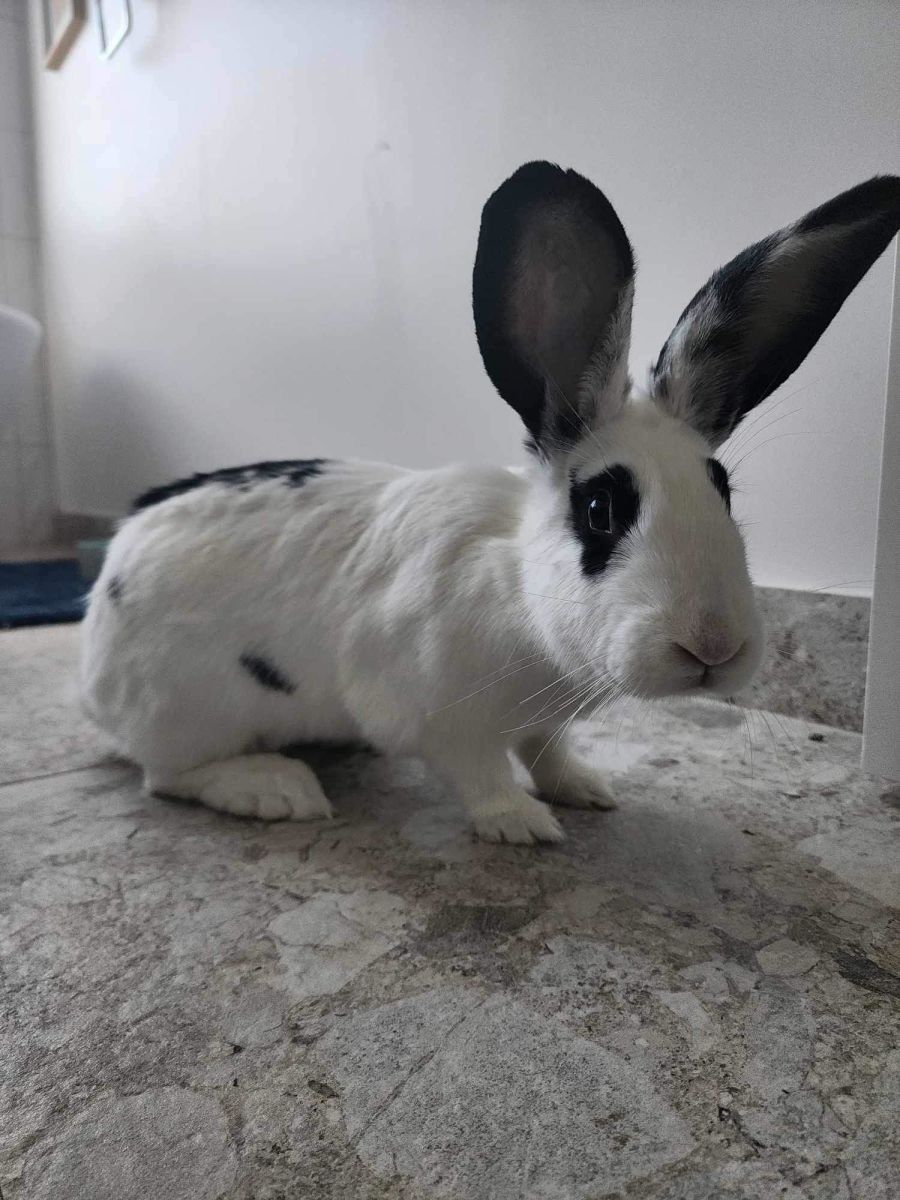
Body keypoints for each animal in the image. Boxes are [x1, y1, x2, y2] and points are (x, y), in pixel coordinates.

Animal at [81, 163, 900, 843]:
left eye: (722, 489)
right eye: (601, 511)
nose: (715, 647)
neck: (518, 597)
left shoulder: (545, 723)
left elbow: (549, 752)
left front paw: (587, 790)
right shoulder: (438, 716)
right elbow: (478, 772)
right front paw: (521, 824)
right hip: (191, 708)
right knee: (167, 775)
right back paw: (275, 789)